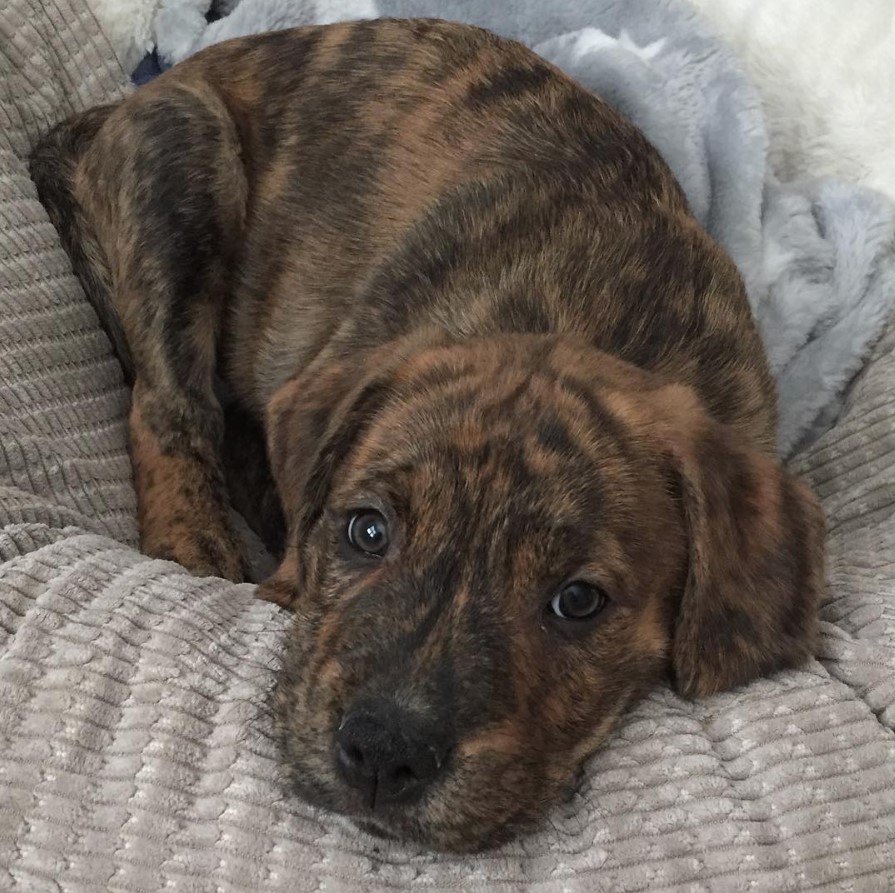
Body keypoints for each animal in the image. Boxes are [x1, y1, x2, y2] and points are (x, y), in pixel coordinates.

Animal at [28, 15, 824, 852]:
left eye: (578, 600)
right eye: (367, 530)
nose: (383, 752)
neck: (586, 318)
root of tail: (120, 106)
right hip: (184, 161)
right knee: (168, 402)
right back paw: (195, 536)